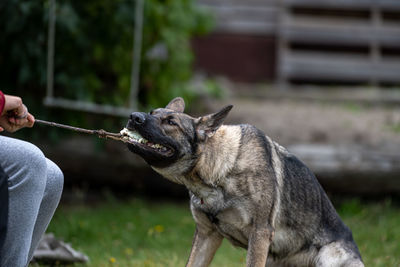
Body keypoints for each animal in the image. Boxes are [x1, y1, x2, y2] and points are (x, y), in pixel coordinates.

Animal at [123, 97, 364, 266]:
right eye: (152, 113)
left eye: (171, 122)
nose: (134, 116)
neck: (220, 169)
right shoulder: (206, 236)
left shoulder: (260, 234)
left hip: (329, 257)